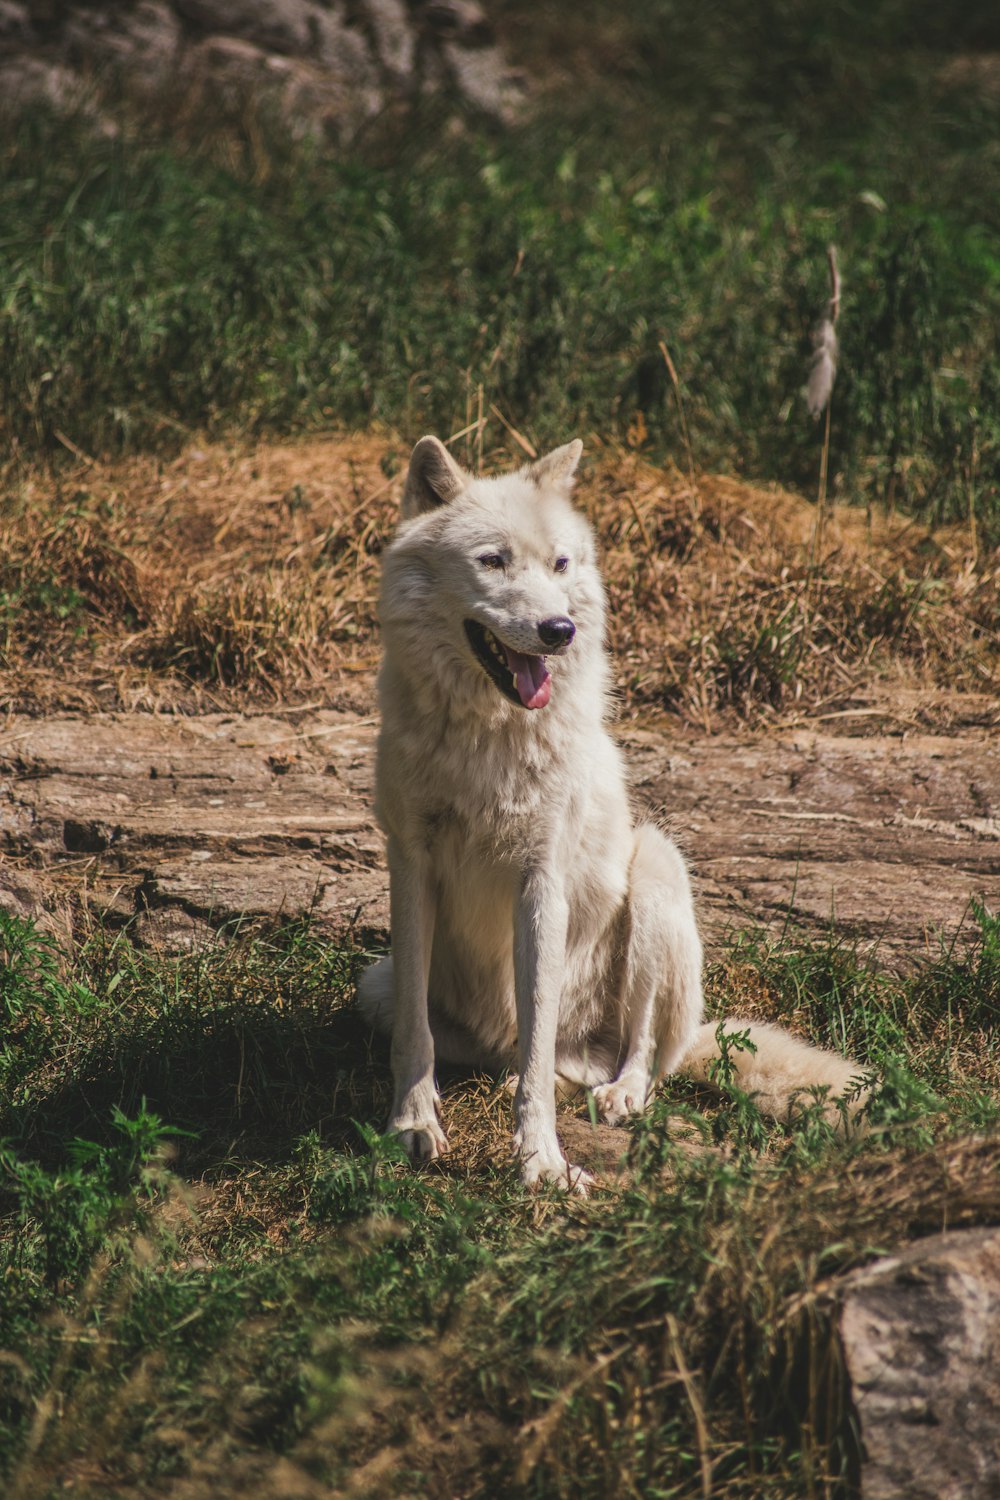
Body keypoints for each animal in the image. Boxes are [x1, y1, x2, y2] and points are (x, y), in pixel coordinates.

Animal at [358, 438, 863, 1188]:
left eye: (561, 564)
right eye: (492, 560)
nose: (559, 630)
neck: (489, 736)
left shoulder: (541, 882)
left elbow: (541, 1040)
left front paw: (540, 1160)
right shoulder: (411, 864)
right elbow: (415, 1038)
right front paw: (414, 1125)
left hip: (655, 870)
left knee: (637, 1052)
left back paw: (617, 1094)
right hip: (375, 984)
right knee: (534, 1060)